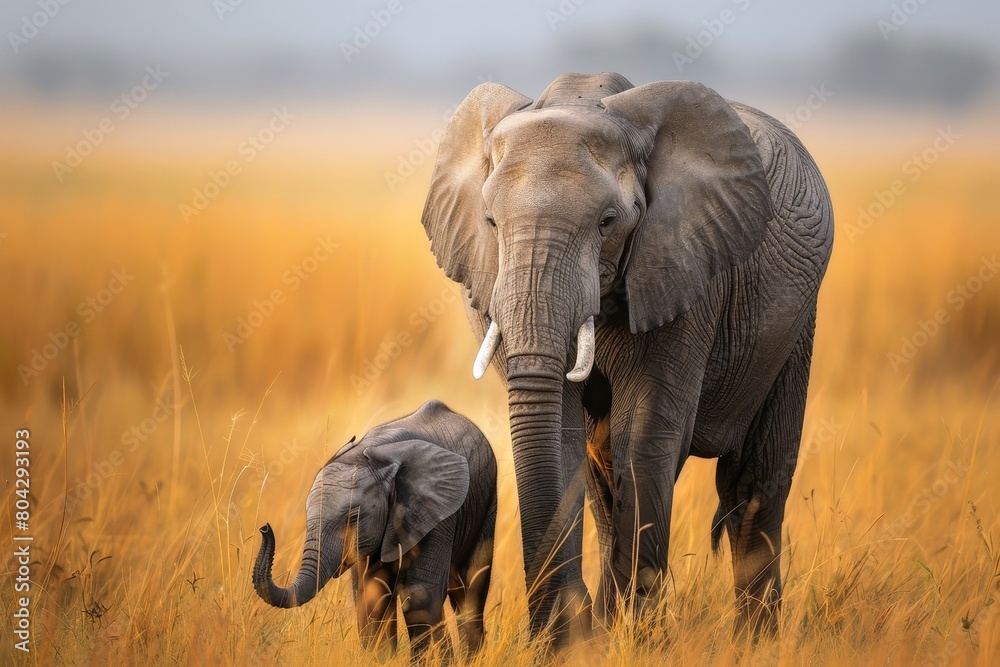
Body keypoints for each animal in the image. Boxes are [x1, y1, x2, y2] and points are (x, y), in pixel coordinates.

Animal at [252, 400, 497, 659]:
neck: (370, 457)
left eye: (354, 517)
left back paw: (473, 658)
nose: (264, 528)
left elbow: (421, 596)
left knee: (471, 589)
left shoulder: (436, 512)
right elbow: (372, 598)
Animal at [420, 72, 833, 642]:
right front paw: (572, 639)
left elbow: (645, 436)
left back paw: (755, 643)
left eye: (608, 221)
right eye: (490, 222)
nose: (547, 629)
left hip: (796, 322)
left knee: (754, 483)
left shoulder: (684, 273)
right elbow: (565, 436)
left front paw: (629, 638)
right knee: (604, 478)